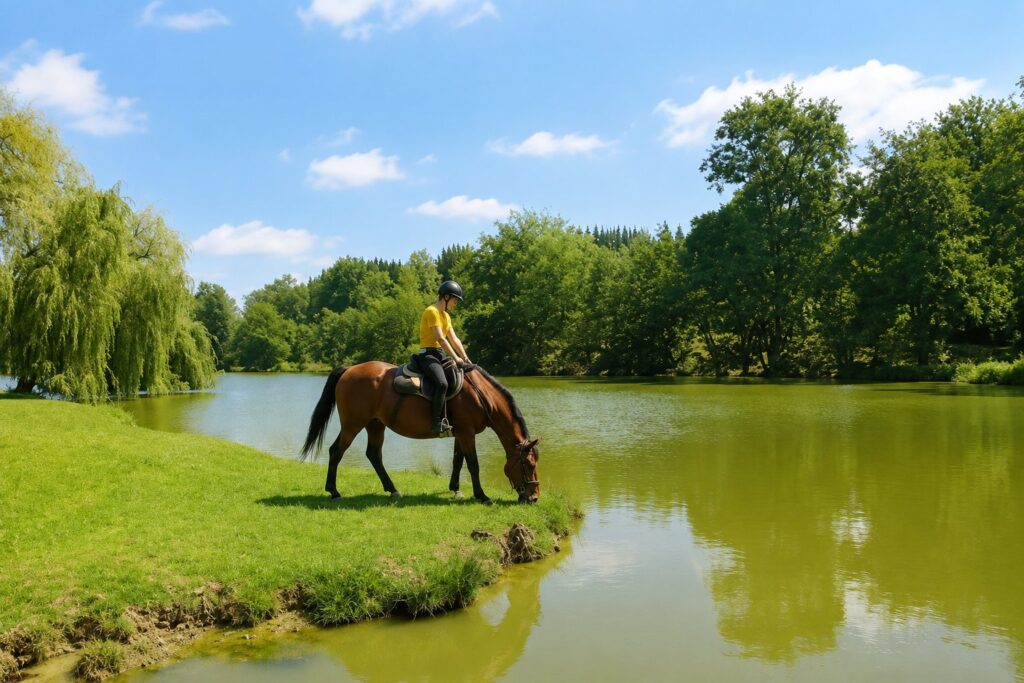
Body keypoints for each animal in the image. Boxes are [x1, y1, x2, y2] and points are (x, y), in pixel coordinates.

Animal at [300, 362, 541, 504]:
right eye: (529, 465)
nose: (534, 497)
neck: (481, 395)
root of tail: (349, 369)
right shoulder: (467, 432)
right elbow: (473, 463)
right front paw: (481, 495)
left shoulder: (461, 433)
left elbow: (458, 460)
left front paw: (455, 489)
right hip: (353, 425)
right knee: (336, 451)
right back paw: (333, 491)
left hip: (375, 424)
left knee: (374, 455)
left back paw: (393, 489)